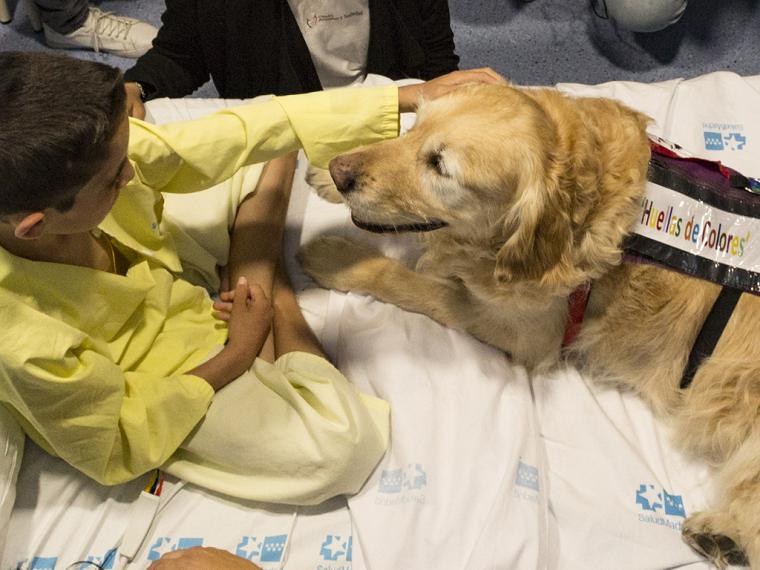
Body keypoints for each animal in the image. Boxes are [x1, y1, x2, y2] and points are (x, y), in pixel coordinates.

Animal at [296, 82, 760, 564]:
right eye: (415, 125)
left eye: (439, 166)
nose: (342, 171)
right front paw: (326, 177)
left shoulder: (520, 329)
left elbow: (404, 279)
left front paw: (338, 259)